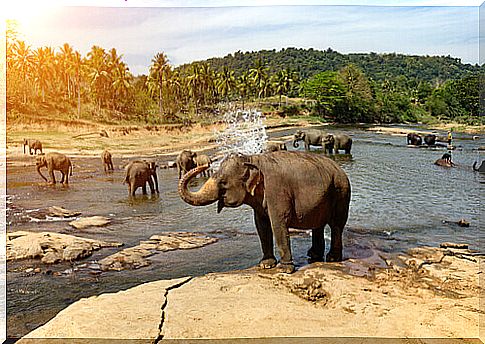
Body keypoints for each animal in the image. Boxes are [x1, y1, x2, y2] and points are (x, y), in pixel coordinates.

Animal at [177, 151, 348, 274]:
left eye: (223, 182)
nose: (205, 165)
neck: (251, 159)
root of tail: (339, 168)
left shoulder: (277, 191)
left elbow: (278, 224)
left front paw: (285, 270)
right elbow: (261, 226)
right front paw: (266, 265)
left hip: (341, 192)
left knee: (336, 225)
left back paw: (332, 258)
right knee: (318, 225)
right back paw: (313, 255)